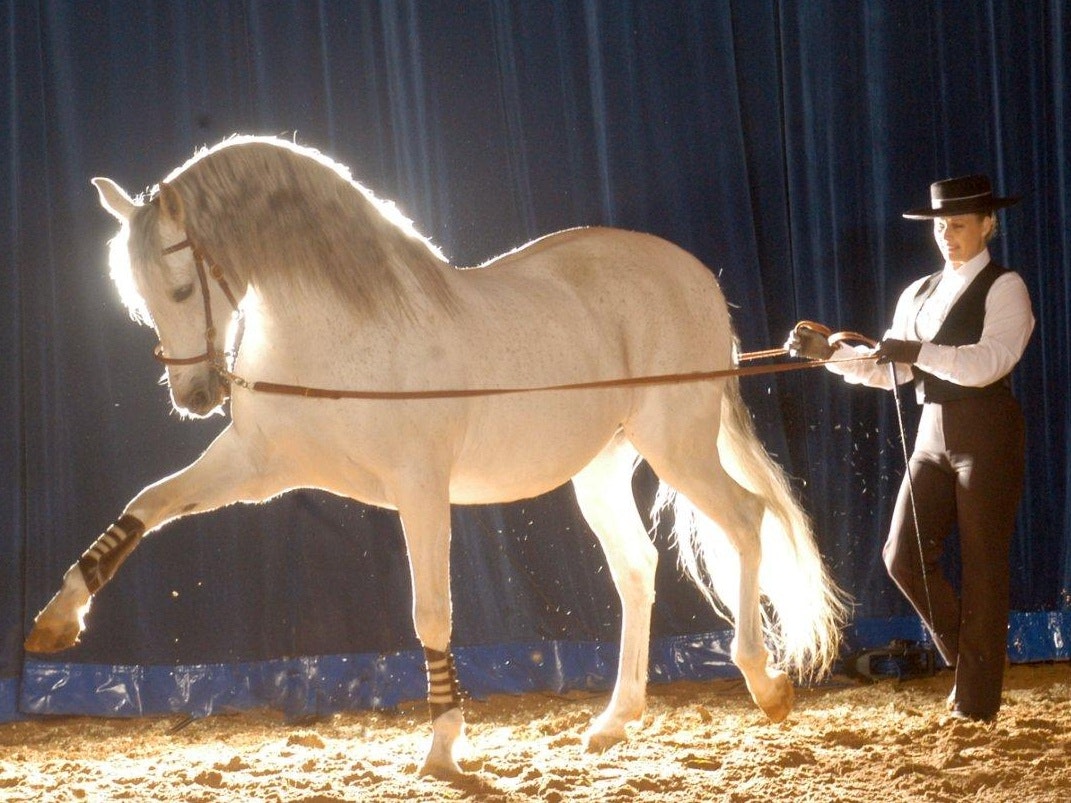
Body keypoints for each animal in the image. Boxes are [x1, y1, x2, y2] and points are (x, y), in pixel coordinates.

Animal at [25, 135, 848, 778]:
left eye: (179, 284)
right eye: (135, 294)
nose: (196, 395)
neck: (339, 337)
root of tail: (693, 276)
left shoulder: (419, 488)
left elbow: (432, 611)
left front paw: (445, 745)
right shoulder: (257, 465)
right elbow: (146, 505)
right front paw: (57, 620)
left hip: (675, 441)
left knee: (745, 520)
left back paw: (764, 683)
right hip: (602, 467)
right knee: (638, 569)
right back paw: (614, 720)